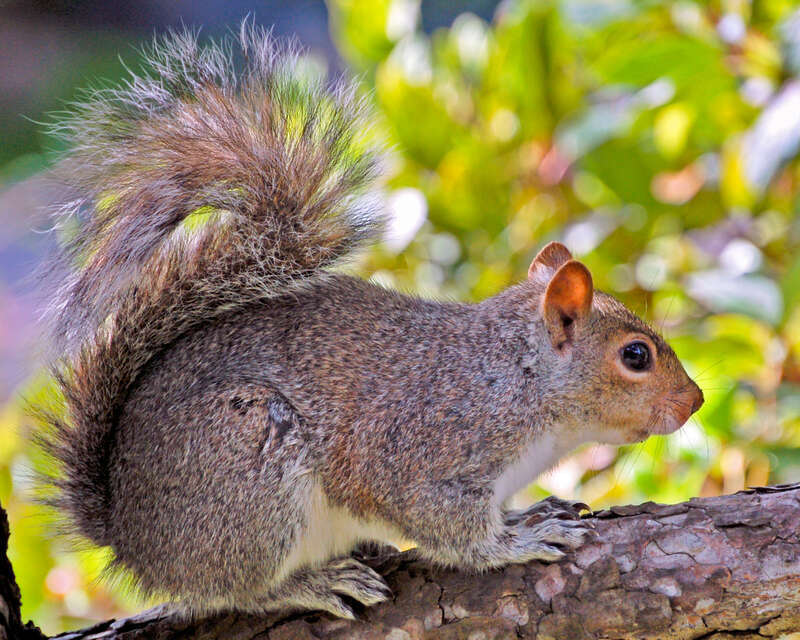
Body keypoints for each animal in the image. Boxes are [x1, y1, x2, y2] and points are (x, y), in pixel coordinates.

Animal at [36, 24, 704, 620]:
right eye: (636, 355)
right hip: (248, 480)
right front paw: (520, 541)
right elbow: (449, 526)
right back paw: (307, 585)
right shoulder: (428, 446)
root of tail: (130, 537)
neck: (518, 376)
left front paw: (529, 514)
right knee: (230, 590)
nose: (695, 401)